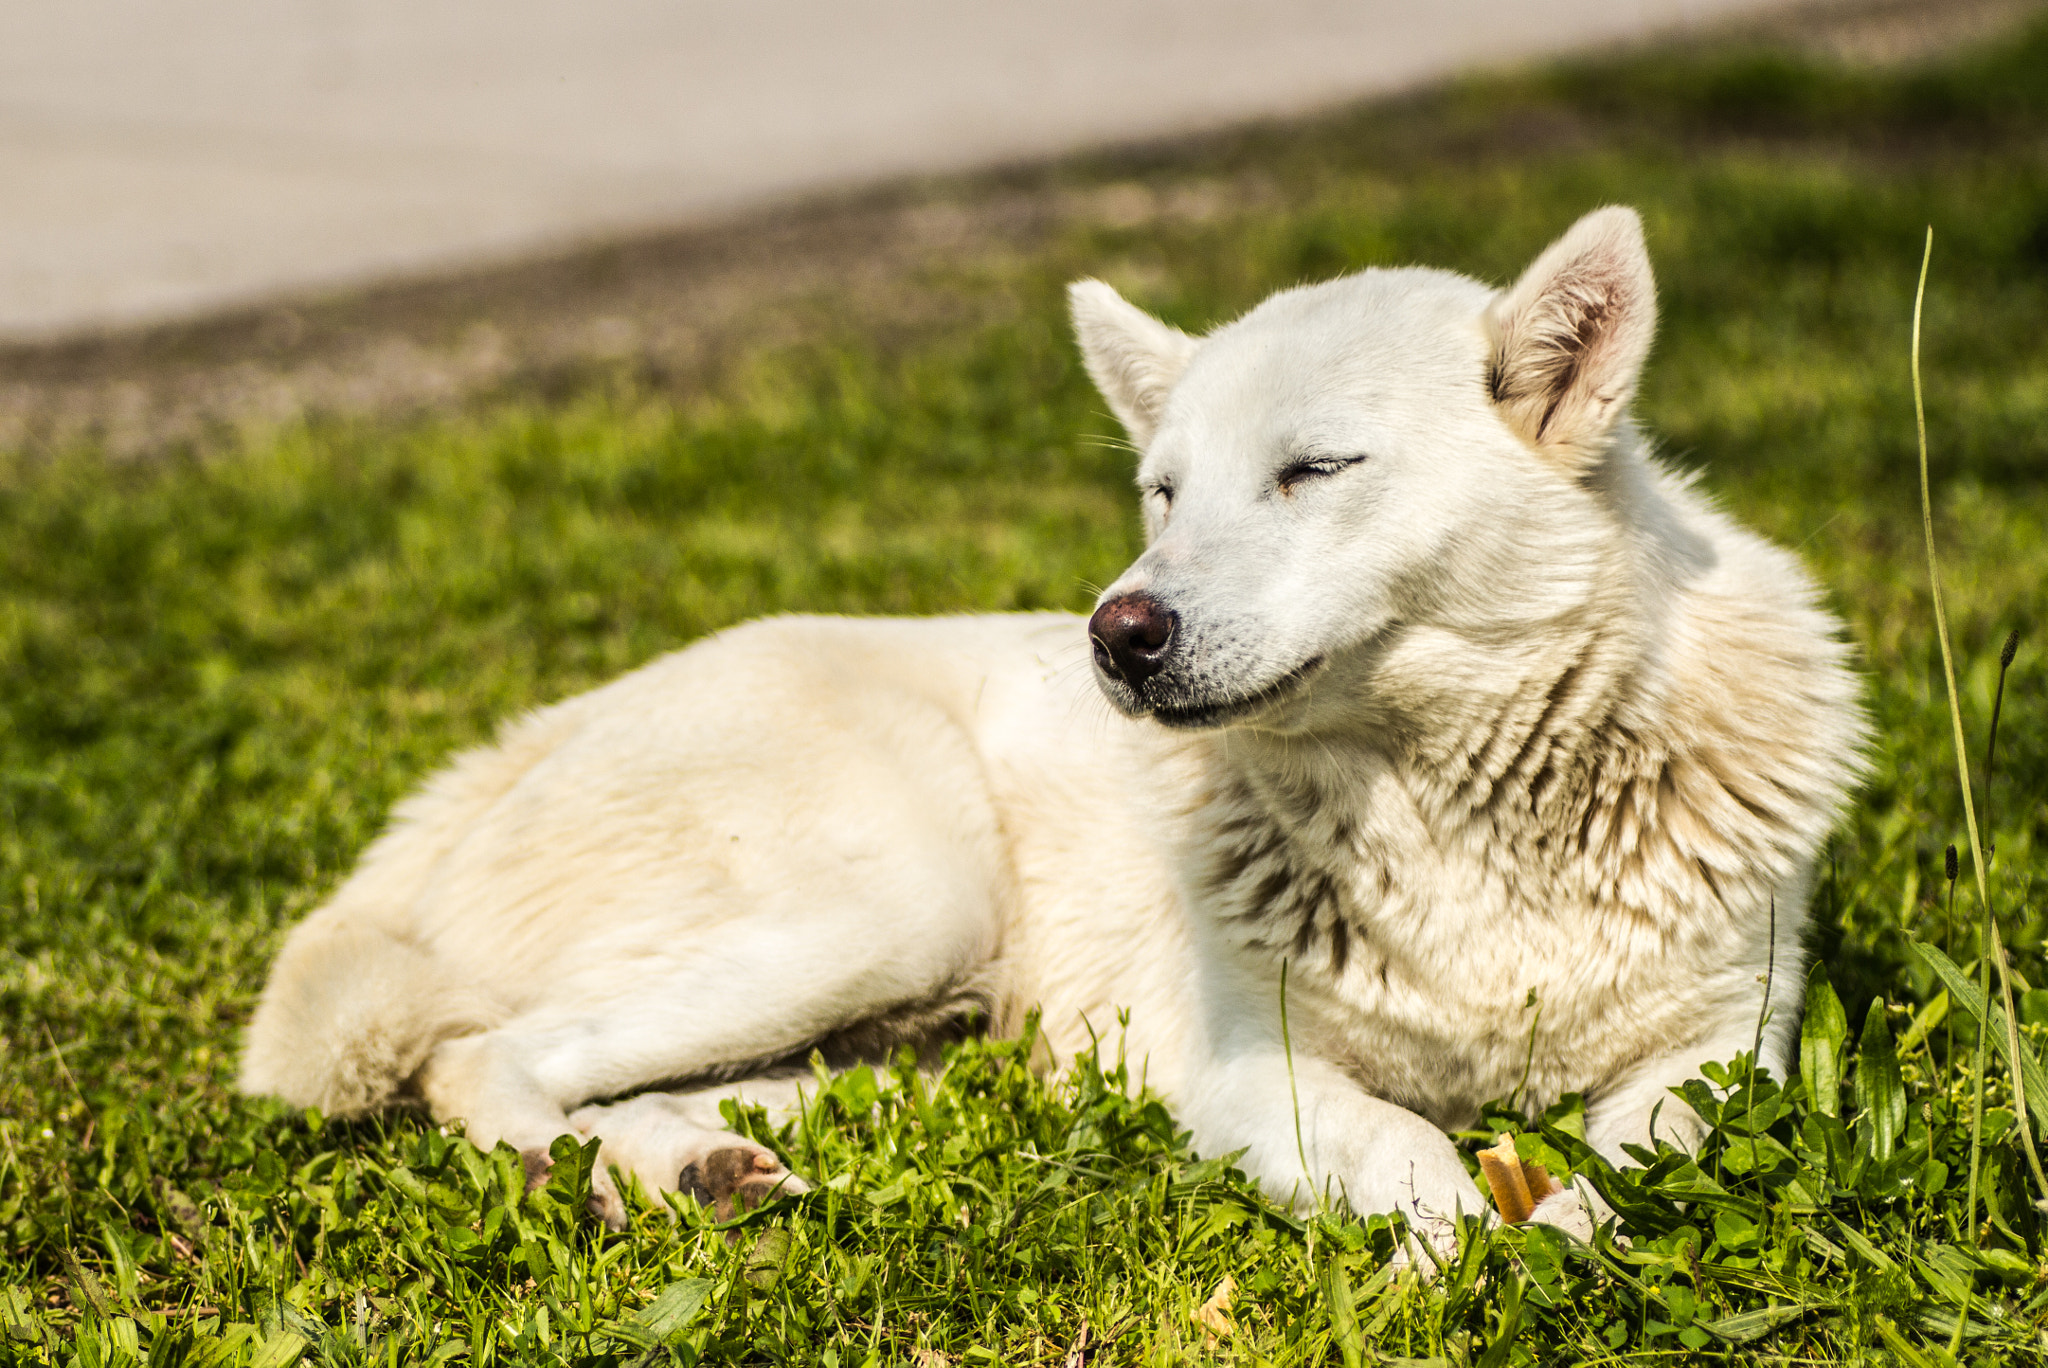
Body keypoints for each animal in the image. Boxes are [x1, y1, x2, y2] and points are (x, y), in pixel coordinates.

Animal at [235, 205, 1859, 1253]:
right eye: (1161, 490)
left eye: (1312, 471)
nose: (1116, 634)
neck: (1450, 802)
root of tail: (485, 768)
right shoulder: (1239, 1072)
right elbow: (1403, 1144)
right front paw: (1463, 1247)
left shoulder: (1724, 1057)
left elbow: (1641, 1160)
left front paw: (1571, 1230)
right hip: (892, 899)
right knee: (481, 1064)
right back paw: (602, 1177)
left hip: (900, 1000)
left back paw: (701, 1166)